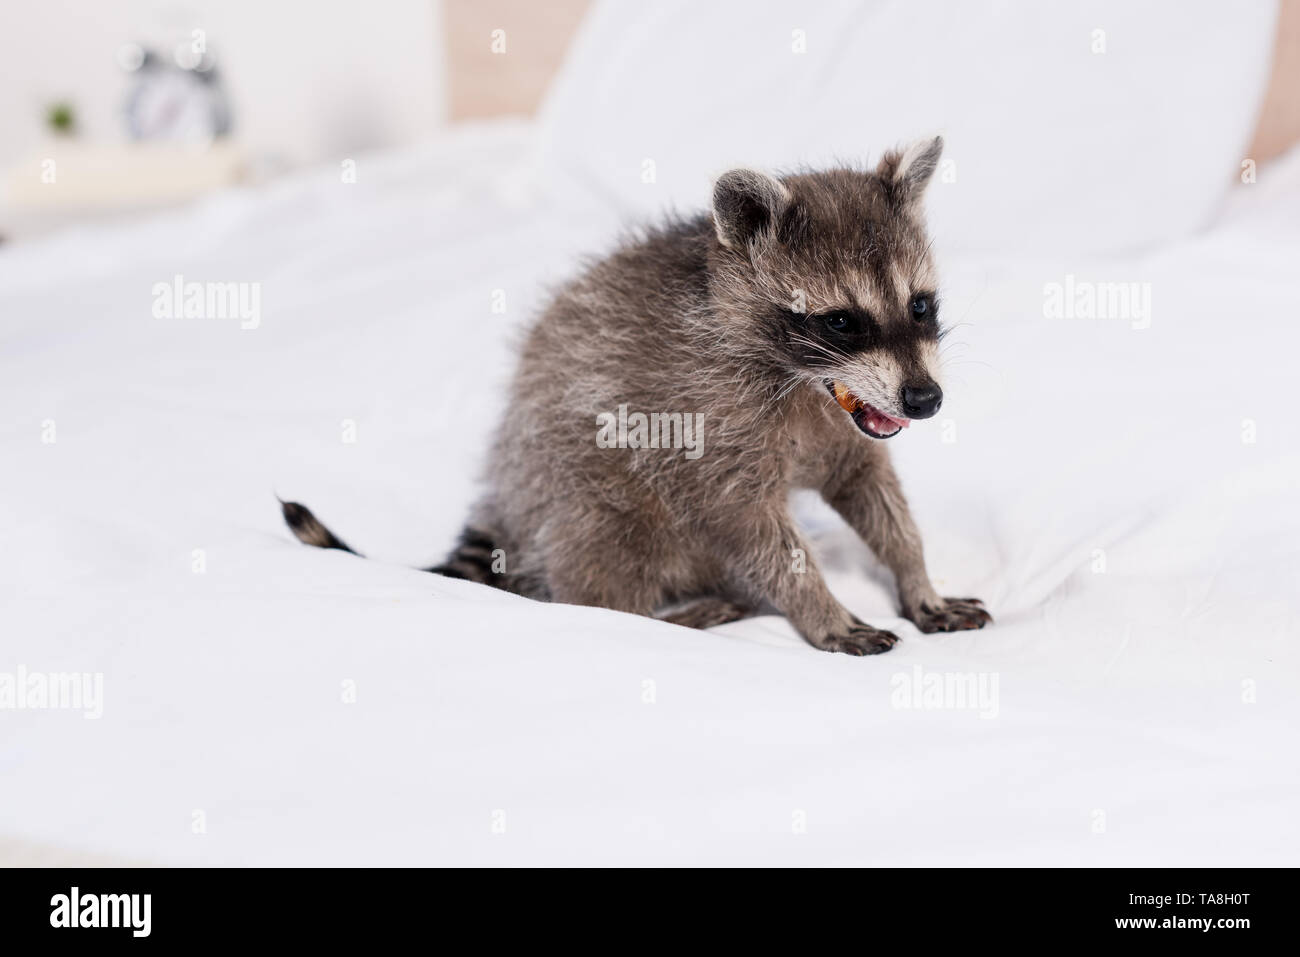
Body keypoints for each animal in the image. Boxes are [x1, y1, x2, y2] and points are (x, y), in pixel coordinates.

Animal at [284, 134, 987, 655]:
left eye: (920, 306)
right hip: (584, 485)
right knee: (604, 554)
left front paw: (915, 573)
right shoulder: (702, 419)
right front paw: (817, 604)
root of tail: (508, 504)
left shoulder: (852, 424)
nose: (925, 400)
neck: (811, 384)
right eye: (842, 322)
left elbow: (874, 492)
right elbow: (755, 530)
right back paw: (654, 615)